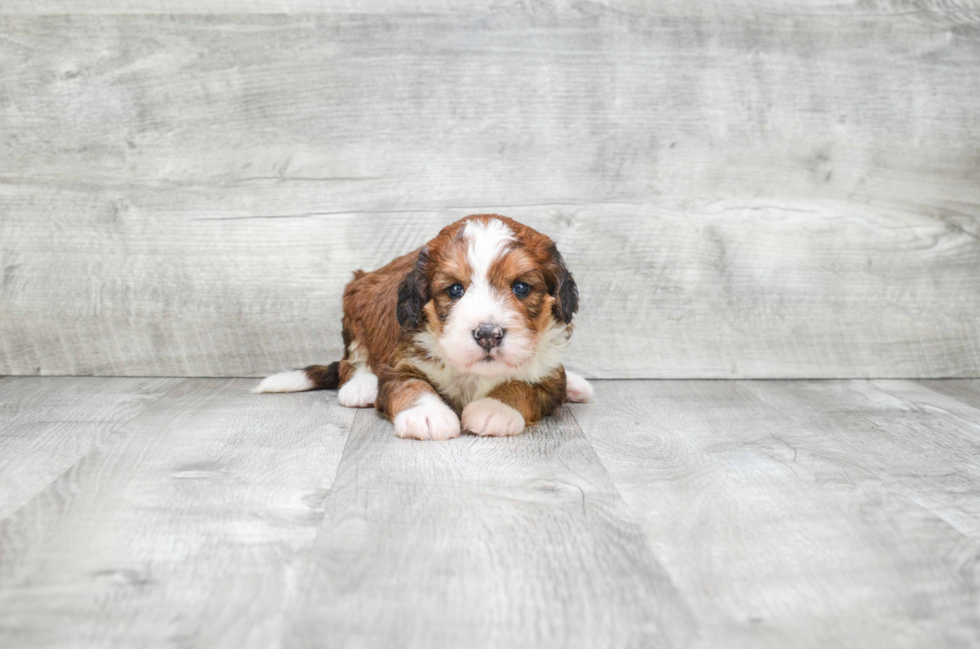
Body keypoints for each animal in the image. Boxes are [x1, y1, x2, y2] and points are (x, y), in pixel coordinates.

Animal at [253, 214, 588, 440]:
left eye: (520, 287)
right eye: (455, 290)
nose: (488, 335)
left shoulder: (549, 378)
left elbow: (526, 386)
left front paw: (496, 408)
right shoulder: (400, 361)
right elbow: (412, 385)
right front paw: (427, 414)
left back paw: (576, 384)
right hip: (355, 302)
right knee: (354, 358)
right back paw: (360, 386)